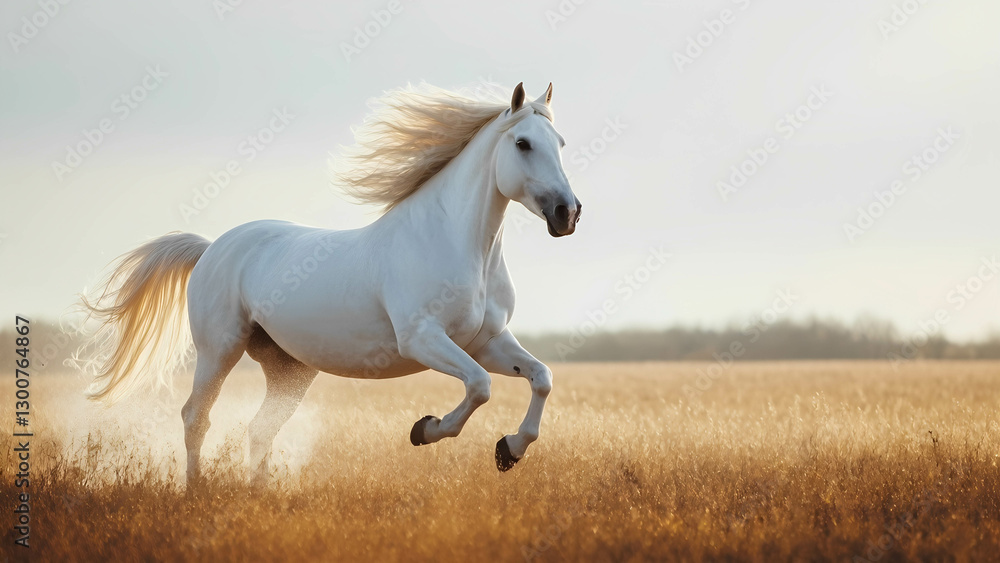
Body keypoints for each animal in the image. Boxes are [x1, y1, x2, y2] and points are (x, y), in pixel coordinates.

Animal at [78, 82, 582, 485]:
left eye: (559, 142)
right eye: (522, 143)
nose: (568, 213)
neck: (458, 245)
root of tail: (211, 248)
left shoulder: (487, 342)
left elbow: (541, 377)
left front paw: (509, 450)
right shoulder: (424, 339)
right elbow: (479, 386)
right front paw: (424, 430)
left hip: (289, 369)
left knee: (260, 428)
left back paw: (258, 495)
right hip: (219, 349)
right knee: (195, 418)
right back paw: (196, 491)